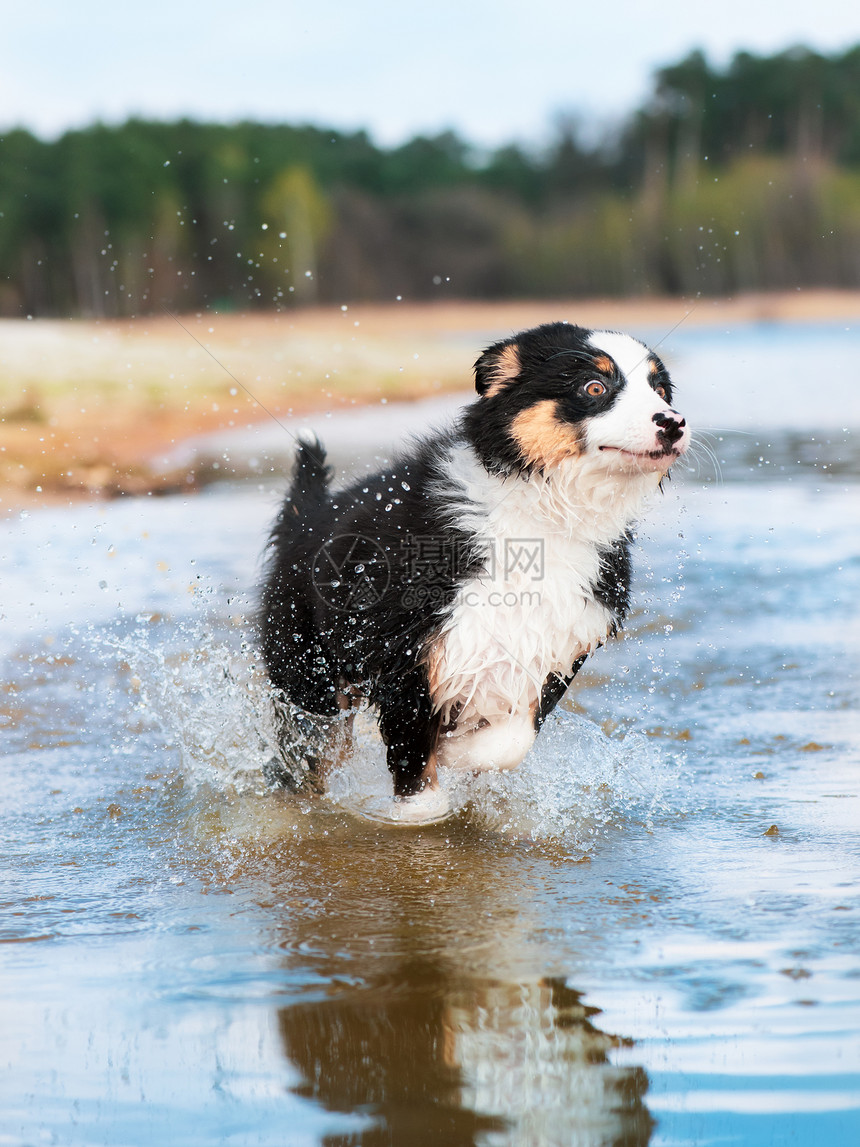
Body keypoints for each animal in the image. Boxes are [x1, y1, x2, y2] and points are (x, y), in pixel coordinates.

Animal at [259, 323, 692, 825]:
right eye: (594, 387)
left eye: (660, 390)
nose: (674, 423)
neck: (545, 518)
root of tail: (308, 515)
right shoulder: (409, 650)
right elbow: (415, 764)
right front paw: (420, 808)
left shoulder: (556, 647)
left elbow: (510, 740)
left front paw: (457, 750)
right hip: (309, 675)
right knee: (304, 754)